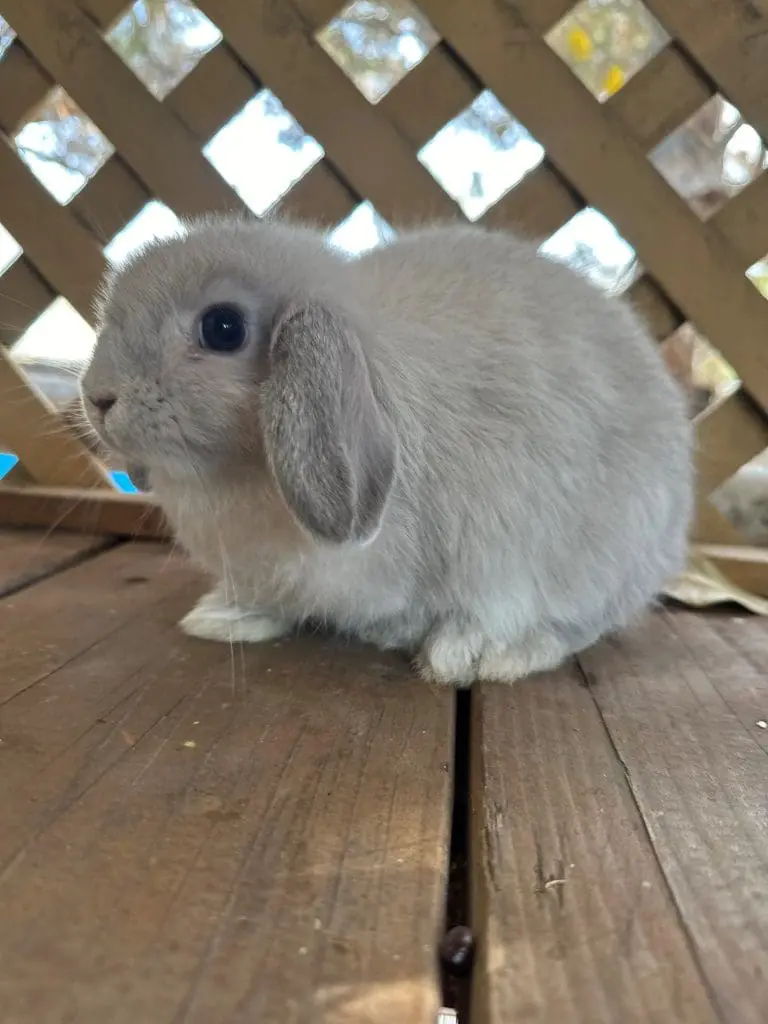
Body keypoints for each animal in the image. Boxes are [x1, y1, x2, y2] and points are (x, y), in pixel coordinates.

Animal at [80, 216, 693, 686]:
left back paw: (490, 654)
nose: (97, 396)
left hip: (603, 555)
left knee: (578, 624)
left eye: (223, 327)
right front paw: (223, 617)